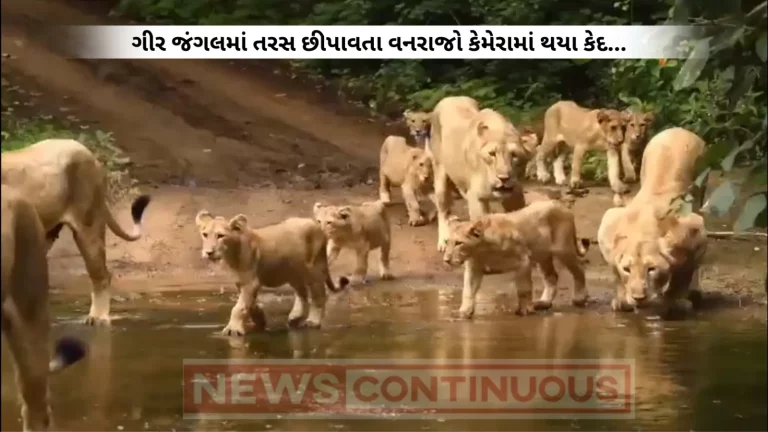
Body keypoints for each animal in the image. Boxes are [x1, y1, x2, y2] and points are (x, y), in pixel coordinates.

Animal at [195, 211, 349, 336]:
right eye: (205, 234)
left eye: (220, 236)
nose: (208, 252)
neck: (231, 255)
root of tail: (316, 225)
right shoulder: (240, 282)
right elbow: (249, 304)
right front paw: (260, 319)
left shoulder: (251, 282)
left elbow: (239, 307)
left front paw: (233, 329)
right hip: (293, 272)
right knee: (302, 294)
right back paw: (295, 318)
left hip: (314, 269)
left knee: (319, 296)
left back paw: (313, 321)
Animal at [442, 200, 591, 319]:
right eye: (446, 241)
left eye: (458, 243)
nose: (446, 259)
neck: (481, 251)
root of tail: (560, 205)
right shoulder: (474, 269)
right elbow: (467, 291)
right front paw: (464, 312)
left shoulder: (523, 260)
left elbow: (524, 289)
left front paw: (525, 310)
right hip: (543, 256)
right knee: (552, 277)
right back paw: (543, 303)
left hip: (563, 250)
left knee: (579, 269)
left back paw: (579, 298)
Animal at [597, 127, 707, 316]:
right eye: (627, 269)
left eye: (651, 269)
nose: (638, 298)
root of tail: (678, 129)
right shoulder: (608, 223)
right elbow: (614, 269)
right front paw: (621, 299)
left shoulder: (697, 228)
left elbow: (685, 271)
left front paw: (676, 301)